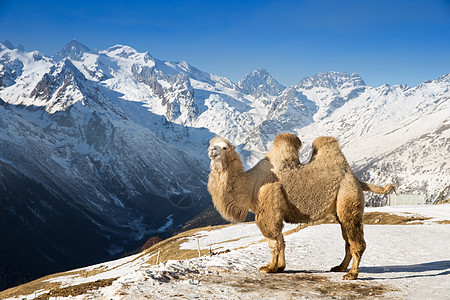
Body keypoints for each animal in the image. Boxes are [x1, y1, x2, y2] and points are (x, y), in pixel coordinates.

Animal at [207, 132, 394, 280]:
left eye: (224, 147)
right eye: (211, 144)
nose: (211, 151)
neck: (250, 184)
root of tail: (356, 178)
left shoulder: (269, 208)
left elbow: (273, 241)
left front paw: (269, 268)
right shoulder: (276, 212)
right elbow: (281, 240)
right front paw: (280, 267)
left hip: (348, 196)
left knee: (356, 239)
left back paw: (352, 274)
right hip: (341, 208)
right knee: (347, 238)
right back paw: (340, 267)